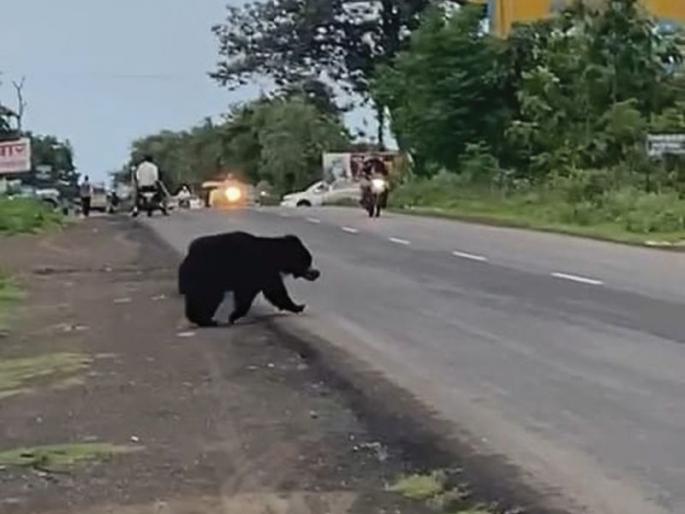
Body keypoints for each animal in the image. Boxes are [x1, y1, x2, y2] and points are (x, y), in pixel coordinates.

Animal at [178, 232, 320, 327]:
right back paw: (206, 320)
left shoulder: (262, 274)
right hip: (207, 276)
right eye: (307, 260)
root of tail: (188, 257)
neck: (275, 257)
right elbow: (273, 291)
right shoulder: (258, 271)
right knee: (208, 298)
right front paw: (298, 306)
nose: (316, 273)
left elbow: (270, 292)